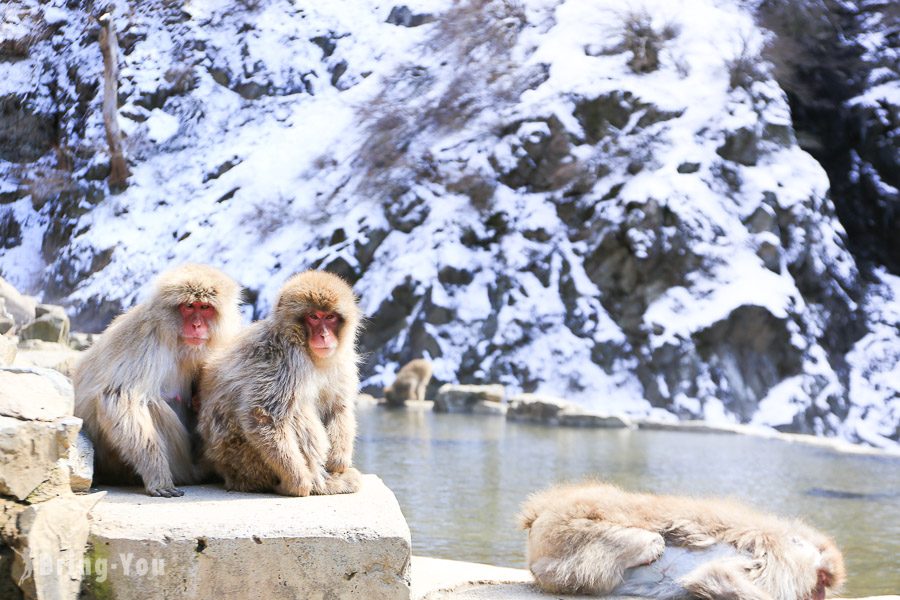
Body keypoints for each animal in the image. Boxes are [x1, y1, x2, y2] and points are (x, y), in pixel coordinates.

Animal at [74, 264, 243, 496]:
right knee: (151, 403)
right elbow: (120, 395)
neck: (178, 341)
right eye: (189, 306)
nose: (197, 325)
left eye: (205, 307)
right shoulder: (146, 339)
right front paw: (157, 476)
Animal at [200, 270, 362, 494]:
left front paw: (339, 460)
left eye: (330, 317)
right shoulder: (281, 358)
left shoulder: (341, 361)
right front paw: (299, 482)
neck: (309, 354)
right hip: (246, 459)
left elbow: (338, 405)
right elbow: (264, 415)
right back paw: (317, 483)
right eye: (313, 317)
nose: (324, 335)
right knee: (296, 409)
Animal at [516, 480, 848, 600]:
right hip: (565, 526)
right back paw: (646, 544)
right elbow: (722, 576)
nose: (819, 597)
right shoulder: (779, 566)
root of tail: (538, 511)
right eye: (820, 582)